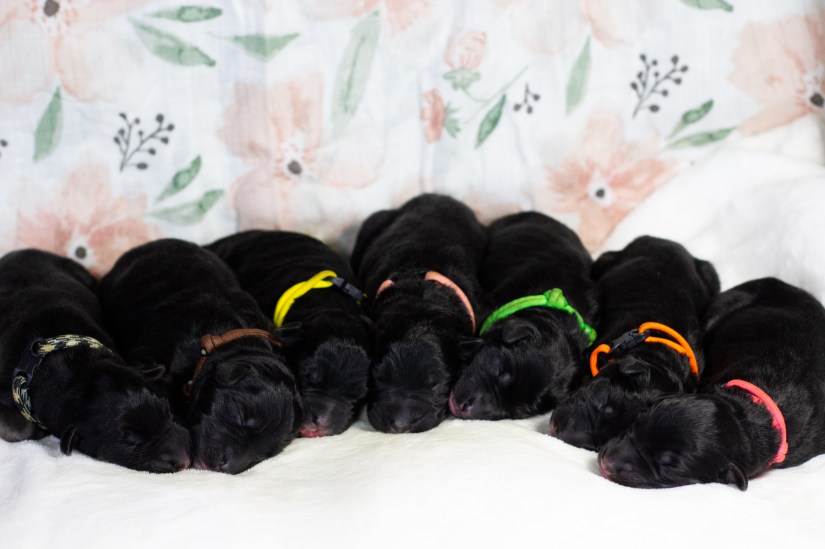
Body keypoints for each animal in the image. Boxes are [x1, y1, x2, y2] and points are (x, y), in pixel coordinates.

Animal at [550, 236, 719, 450]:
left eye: (599, 443)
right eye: (603, 400)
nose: (555, 429)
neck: (660, 356)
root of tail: (666, 240)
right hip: (608, 259)